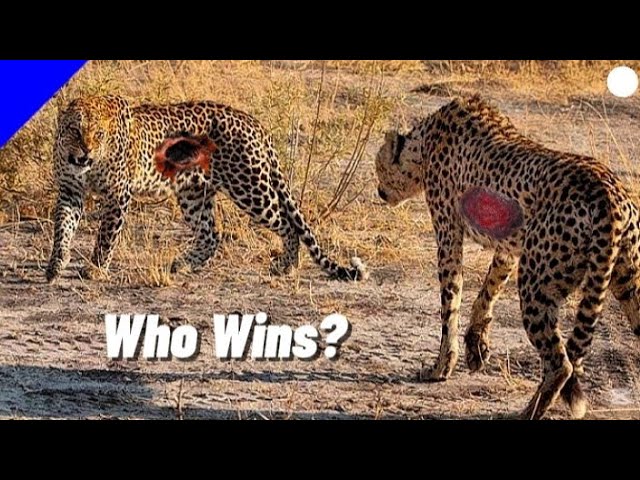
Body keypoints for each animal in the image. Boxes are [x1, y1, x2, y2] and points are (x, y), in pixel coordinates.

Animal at [45, 95, 366, 283]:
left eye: (98, 134)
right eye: (75, 131)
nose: (86, 151)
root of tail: (254, 122)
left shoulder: (117, 194)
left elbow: (106, 236)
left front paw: (95, 269)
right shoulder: (70, 191)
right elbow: (62, 228)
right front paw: (56, 265)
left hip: (250, 187)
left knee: (287, 223)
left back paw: (287, 265)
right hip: (193, 193)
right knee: (212, 235)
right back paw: (183, 264)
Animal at [375, 94, 640, 419]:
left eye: (378, 166)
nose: (379, 191)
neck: (424, 141)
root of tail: (608, 193)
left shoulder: (448, 231)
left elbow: (451, 301)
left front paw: (441, 367)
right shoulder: (510, 248)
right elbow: (487, 291)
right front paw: (476, 346)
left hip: (536, 286)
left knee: (560, 364)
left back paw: (528, 411)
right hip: (625, 279)